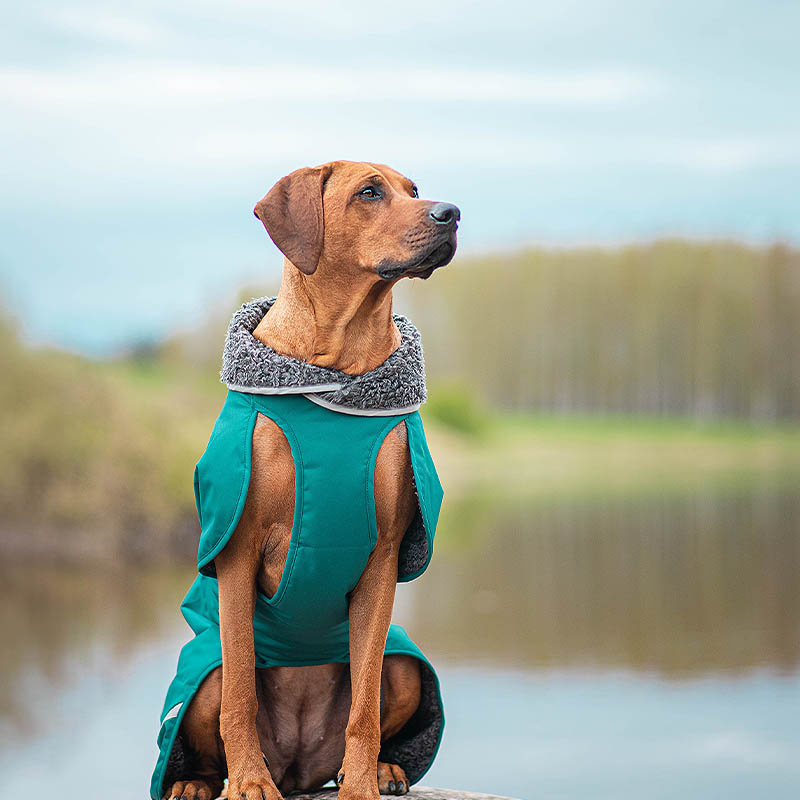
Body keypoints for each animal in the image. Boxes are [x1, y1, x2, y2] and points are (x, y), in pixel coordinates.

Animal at [158, 161, 456, 800]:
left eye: (415, 191)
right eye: (369, 191)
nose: (451, 213)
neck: (335, 368)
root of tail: (297, 767)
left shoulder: (382, 557)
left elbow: (364, 705)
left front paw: (362, 783)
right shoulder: (238, 550)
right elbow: (240, 694)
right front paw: (248, 781)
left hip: (404, 665)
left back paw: (384, 769)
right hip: (205, 670)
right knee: (218, 704)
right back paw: (197, 780)